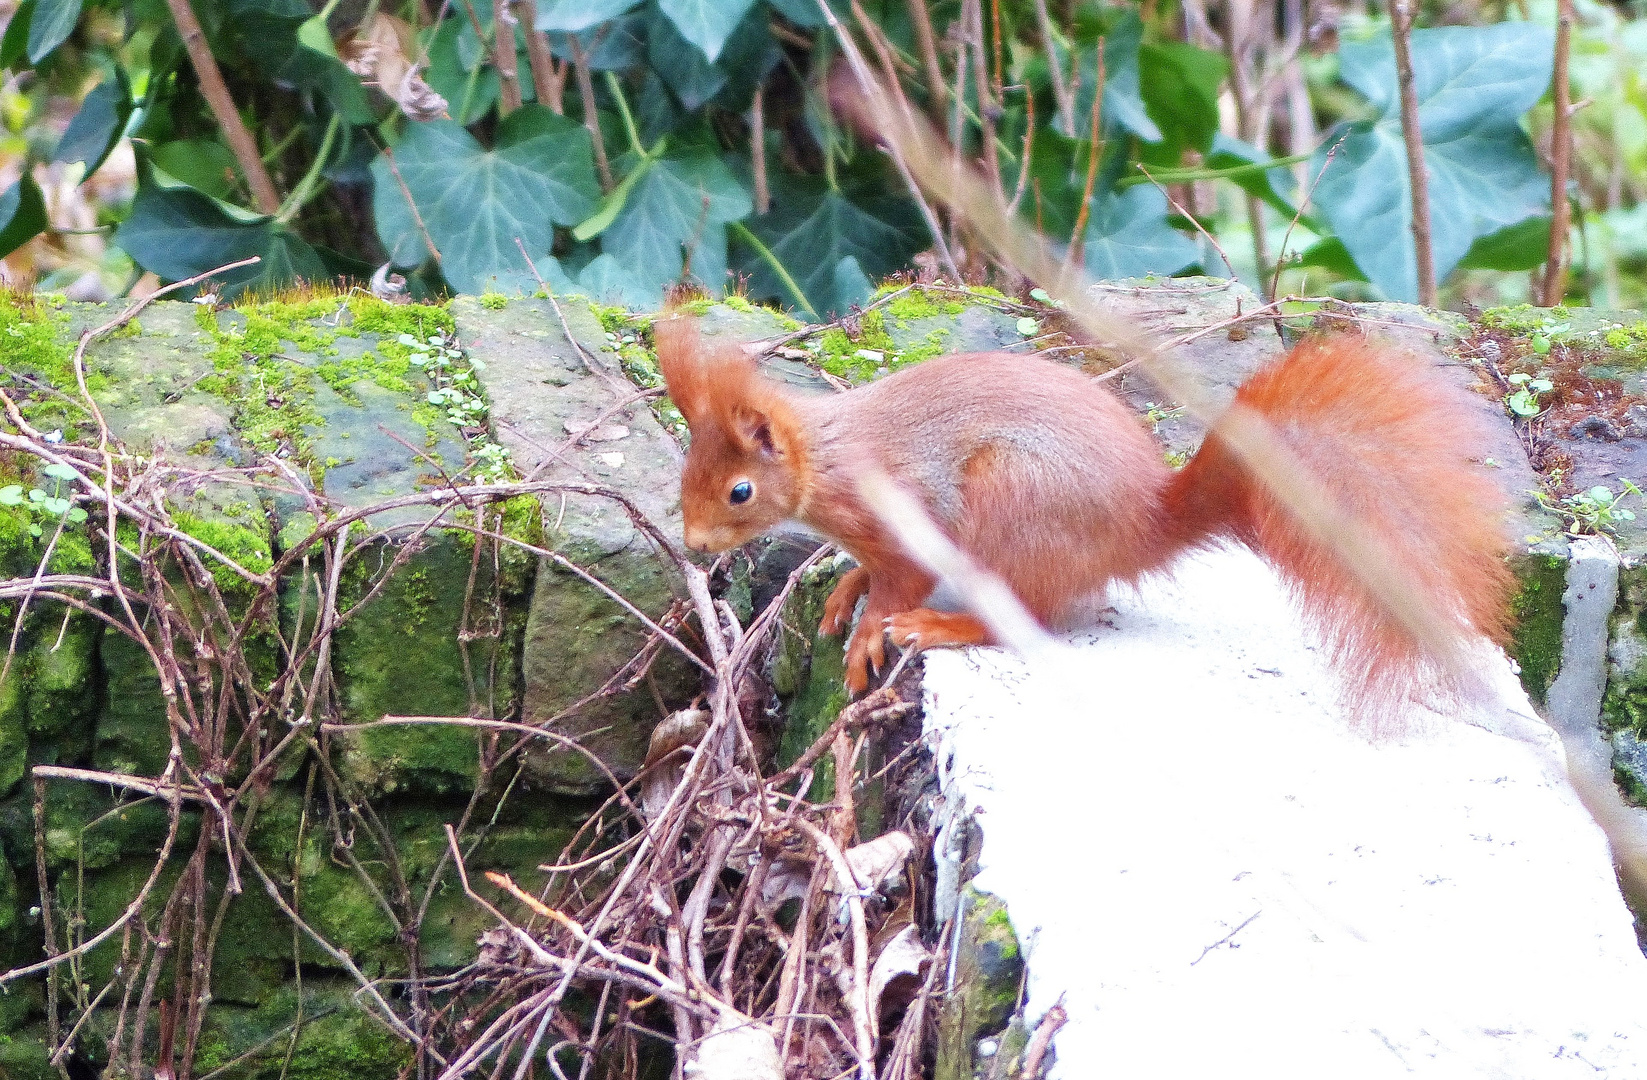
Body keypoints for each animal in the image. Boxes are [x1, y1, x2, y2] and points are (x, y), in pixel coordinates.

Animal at [652, 316, 1508, 704]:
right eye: (685, 472)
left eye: (738, 491)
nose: (693, 544)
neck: (829, 459)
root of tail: (1140, 527)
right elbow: (865, 572)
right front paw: (843, 593)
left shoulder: (904, 513)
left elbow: (898, 580)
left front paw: (869, 630)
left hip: (1010, 504)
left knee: (1023, 616)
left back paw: (943, 626)